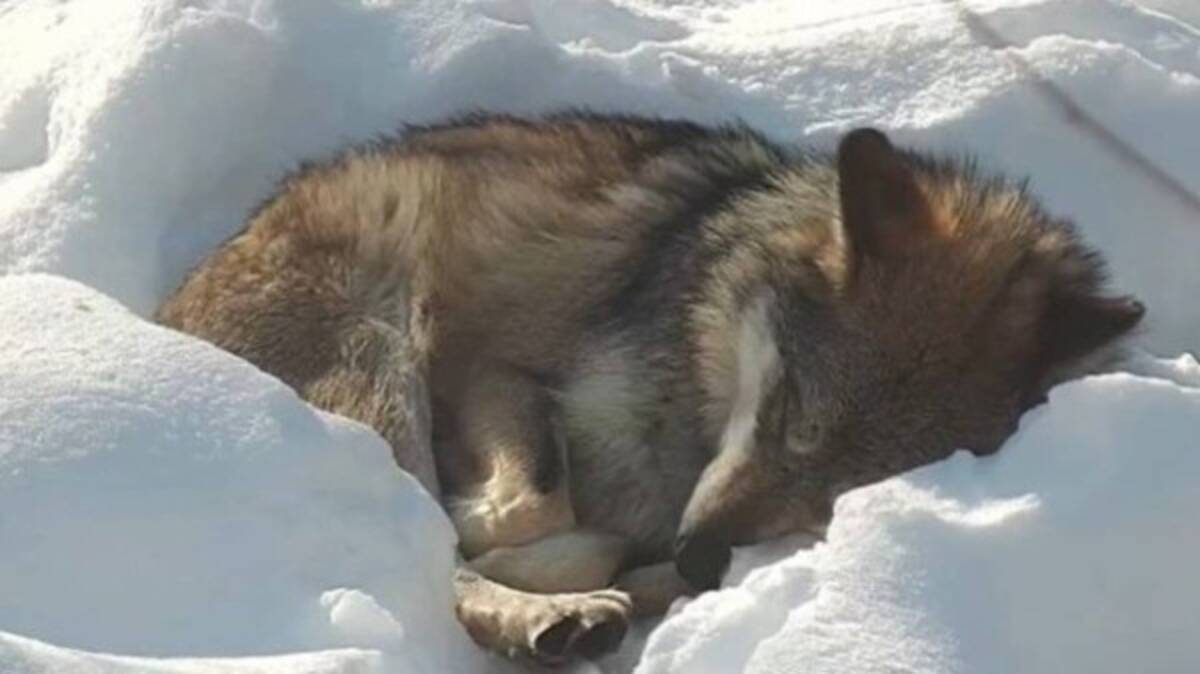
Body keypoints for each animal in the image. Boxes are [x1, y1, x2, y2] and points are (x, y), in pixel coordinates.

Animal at [157, 112, 1142, 662]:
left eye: (846, 493)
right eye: (790, 409)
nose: (702, 554)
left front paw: (641, 570)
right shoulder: (490, 366)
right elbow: (531, 506)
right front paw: (526, 541)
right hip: (379, 350)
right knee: (414, 546)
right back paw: (551, 609)